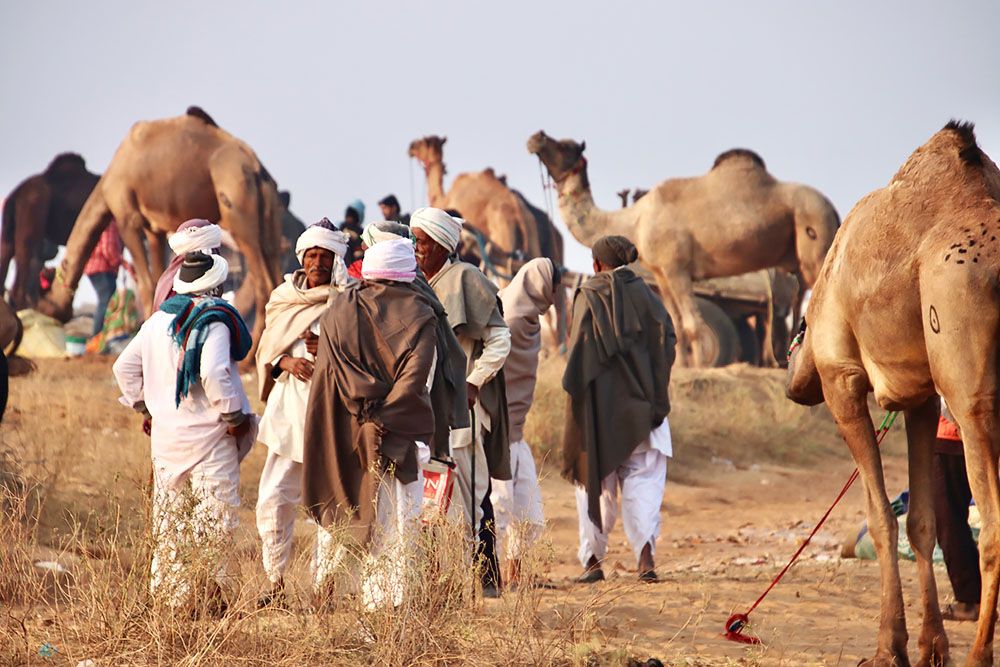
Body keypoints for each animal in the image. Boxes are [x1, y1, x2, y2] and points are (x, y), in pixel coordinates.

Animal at [39, 105, 282, 350]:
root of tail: (256, 168)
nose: (51, 311)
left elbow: (146, 285)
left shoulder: (127, 218)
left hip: (238, 211)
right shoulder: (153, 230)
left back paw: (250, 356)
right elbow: (157, 280)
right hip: (268, 217)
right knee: (275, 275)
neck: (108, 181)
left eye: (47, 297)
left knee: (263, 284)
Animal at [528, 131, 840, 368]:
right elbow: (674, 324)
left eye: (565, 146)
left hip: (816, 239)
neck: (634, 221)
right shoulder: (661, 273)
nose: (536, 137)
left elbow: (693, 325)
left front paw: (701, 366)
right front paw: (680, 365)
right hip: (798, 262)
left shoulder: (676, 267)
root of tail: (835, 212)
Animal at [788, 121, 1000, 667]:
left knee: (991, 524)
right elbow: (921, 521)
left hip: (973, 396)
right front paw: (930, 647)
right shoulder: (922, 397)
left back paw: (979, 654)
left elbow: (882, 517)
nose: (794, 378)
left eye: (800, 329)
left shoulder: (841, 379)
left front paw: (889, 647)